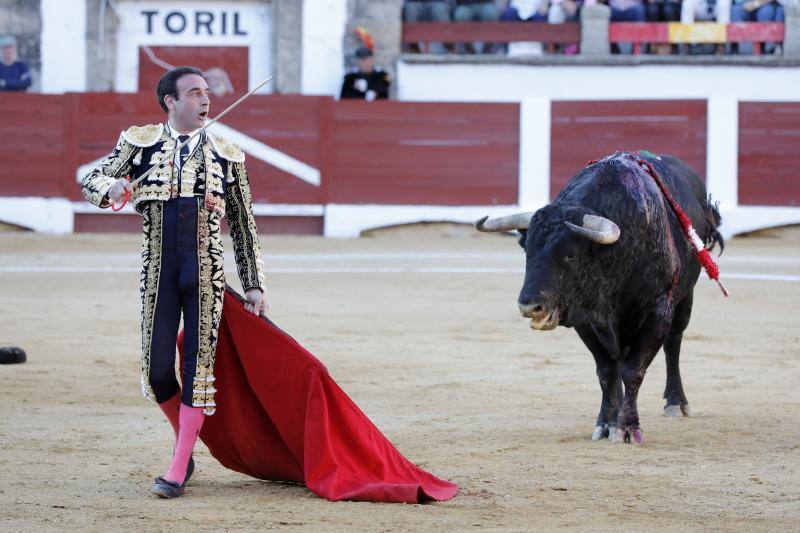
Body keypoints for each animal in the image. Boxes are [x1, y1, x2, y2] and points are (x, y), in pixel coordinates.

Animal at [476, 152, 724, 442]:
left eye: (570, 254)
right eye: (527, 249)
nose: (530, 306)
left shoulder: (657, 312)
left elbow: (633, 370)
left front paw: (628, 427)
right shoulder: (585, 318)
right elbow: (607, 371)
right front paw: (607, 423)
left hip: (685, 299)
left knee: (673, 343)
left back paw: (676, 402)